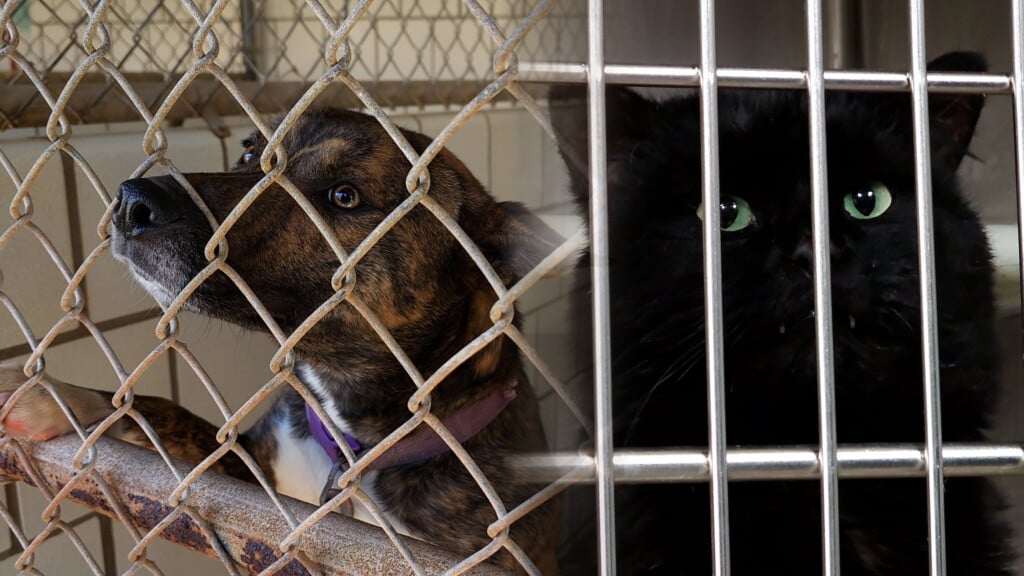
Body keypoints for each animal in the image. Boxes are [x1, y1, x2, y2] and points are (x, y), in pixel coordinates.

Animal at [0, 106, 561, 569]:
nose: (133, 202)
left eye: (344, 195)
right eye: (252, 152)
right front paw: (56, 398)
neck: (351, 443)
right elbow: (165, 416)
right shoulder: (254, 491)